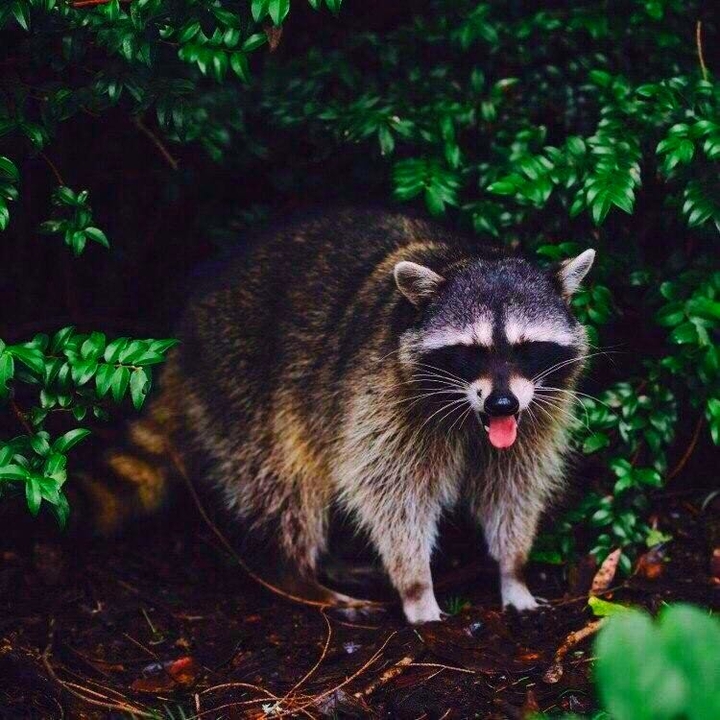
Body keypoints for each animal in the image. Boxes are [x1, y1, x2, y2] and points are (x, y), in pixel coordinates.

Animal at [89, 208, 594, 624]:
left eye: (526, 348)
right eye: (471, 351)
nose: (501, 406)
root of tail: (185, 337)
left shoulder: (537, 410)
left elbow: (513, 483)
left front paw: (513, 569)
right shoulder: (379, 396)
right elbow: (391, 491)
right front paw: (416, 585)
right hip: (242, 385)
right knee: (283, 483)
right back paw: (296, 575)